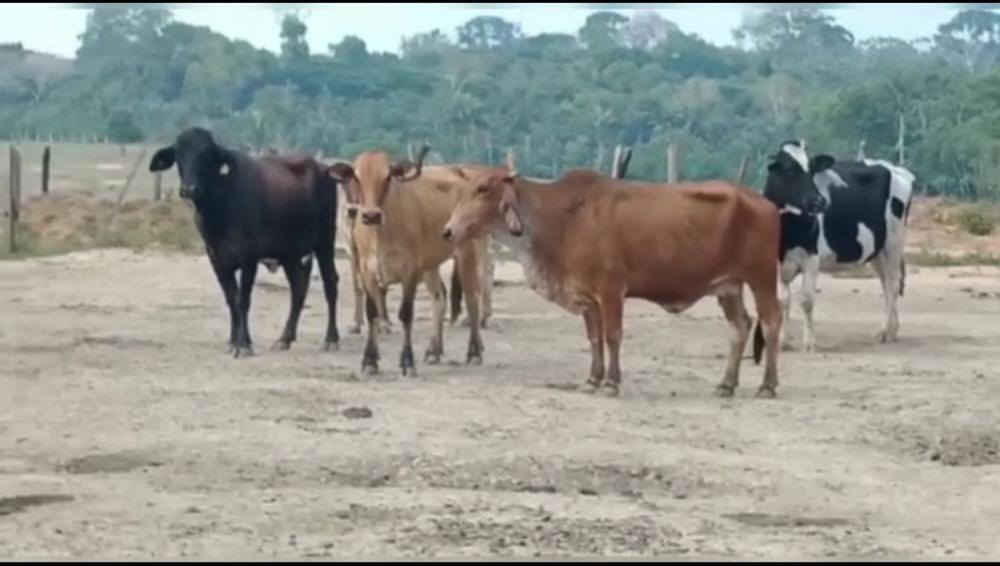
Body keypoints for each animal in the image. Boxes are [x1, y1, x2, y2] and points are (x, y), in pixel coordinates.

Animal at [148, 127, 341, 357]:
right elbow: (231, 299)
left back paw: (331, 339)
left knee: (330, 282)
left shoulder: (249, 258)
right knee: (298, 287)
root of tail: (324, 168)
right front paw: (234, 341)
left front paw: (244, 344)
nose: (189, 189)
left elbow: (243, 299)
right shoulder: (217, 259)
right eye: (179, 154)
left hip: (325, 242)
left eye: (206, 155)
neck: (219, 209)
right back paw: (284, 338)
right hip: (290, 253)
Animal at [326, 146, 491, 376]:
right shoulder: (367, 269)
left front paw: (407, 361)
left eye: (388, 177)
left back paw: (474, 352)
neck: (380, 234)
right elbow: (372, 312)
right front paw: (369, 360)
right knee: (439, 298)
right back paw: (433, 351)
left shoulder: (410, 270)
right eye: (355, 177)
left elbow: (405, 314)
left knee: (472, 299)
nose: (371, 215)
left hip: (468, 251)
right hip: (431, 264)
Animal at [441, 166, 784, 398]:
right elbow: (594, 338)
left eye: (483, 189)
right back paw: (727, 383)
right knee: (740, 326)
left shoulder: (611, 290)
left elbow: (613, 336)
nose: (448, 230)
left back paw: (767, 385)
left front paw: (611, 382)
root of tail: (766, 203)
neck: (562, 218)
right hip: (729, 286)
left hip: (762, 278)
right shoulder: (586, 296)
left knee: (770, 323)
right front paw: (593, 379)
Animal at [762, 140, 915, 352]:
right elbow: (782, 301)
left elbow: (807, 300)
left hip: (894, 242)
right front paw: (783, 341)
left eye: (812, 170)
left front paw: (810, 343)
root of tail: (897, 169)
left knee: (893, 285)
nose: (818, 202)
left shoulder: (811, 258)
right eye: (790, 170)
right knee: (886, 284)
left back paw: (884, 331)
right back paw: (893, 330)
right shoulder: (775, 261)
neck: (788, 233)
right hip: (877, 251)